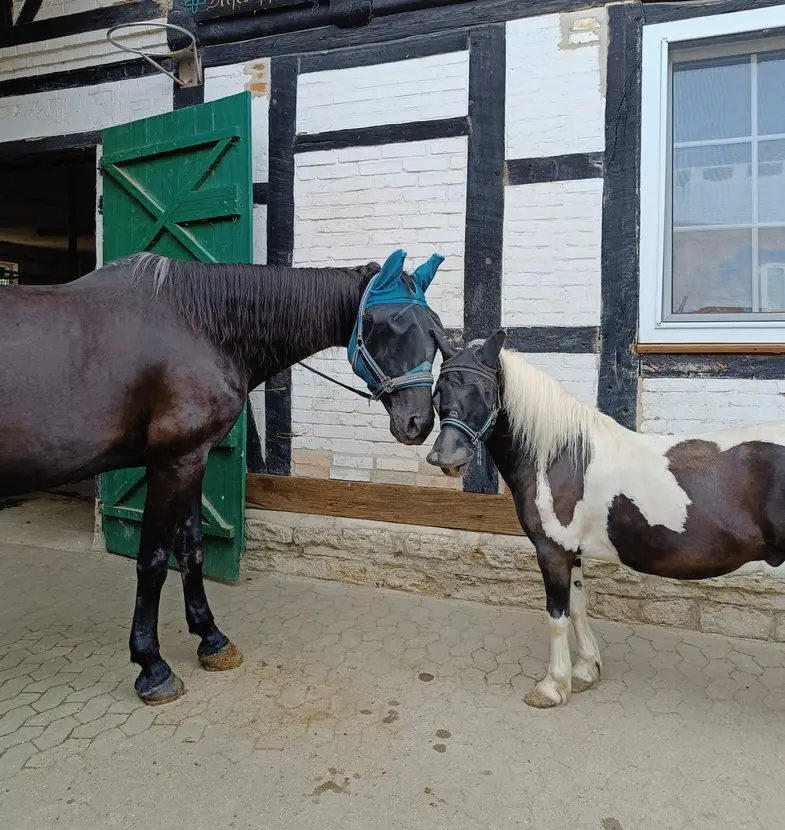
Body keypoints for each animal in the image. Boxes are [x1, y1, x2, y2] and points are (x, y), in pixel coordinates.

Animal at [0, 247, 446, 705]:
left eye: (434, 330)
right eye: (385, 325)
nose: (419, 422)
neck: (197, 326)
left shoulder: (192, 459)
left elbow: (192, 549)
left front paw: (211, 639)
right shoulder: (173, 463)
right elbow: (153, 562)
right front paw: (152, 666)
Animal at [426, 329, 785, 709]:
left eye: (485, 390)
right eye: (438, 391)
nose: (446, 458)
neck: (561, 457)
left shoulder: (552, 550)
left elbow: (557, 616)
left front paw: (552, 686)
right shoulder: (572, 551)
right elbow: (578, 605)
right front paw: (585, 670)